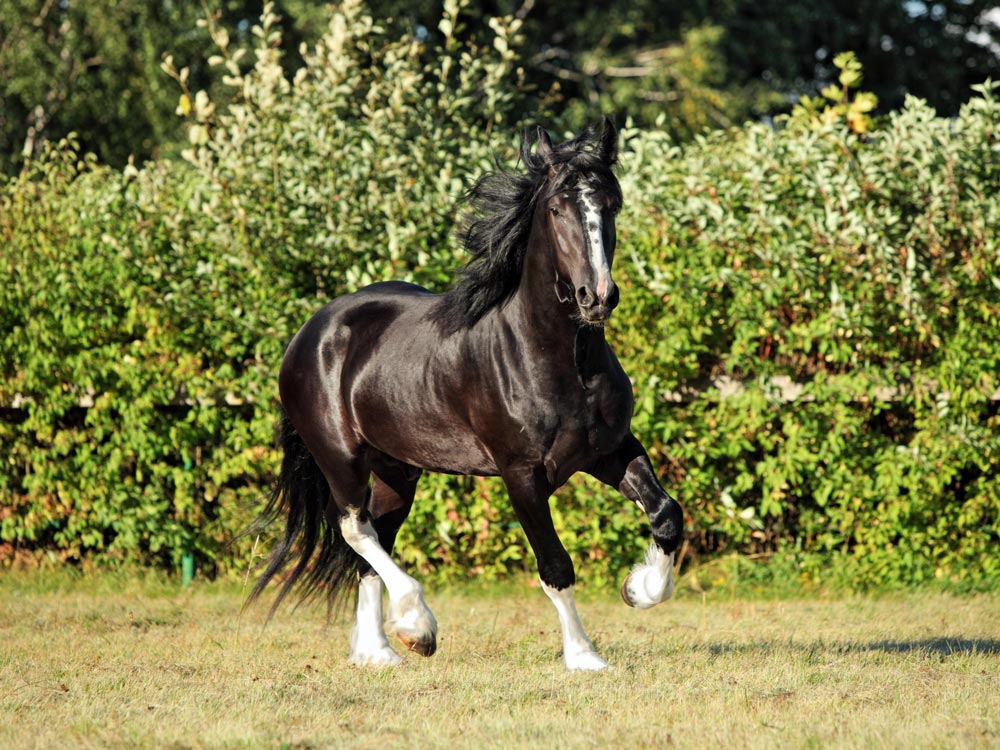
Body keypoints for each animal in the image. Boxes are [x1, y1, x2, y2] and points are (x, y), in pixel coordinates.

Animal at [247, 118, 684, 671]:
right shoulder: (522, 475)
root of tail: (311, 332)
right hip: (340, 457)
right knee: (357, 530)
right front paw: (584, 656)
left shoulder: (609, 452)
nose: (597, 297)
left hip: (396, 470)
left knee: (373, 541)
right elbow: (555, 565)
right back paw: (417, 624)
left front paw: (638, 588)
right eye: (557, 209)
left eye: (612, 204)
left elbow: (667, 515)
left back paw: (379, 651)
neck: (564, 362)